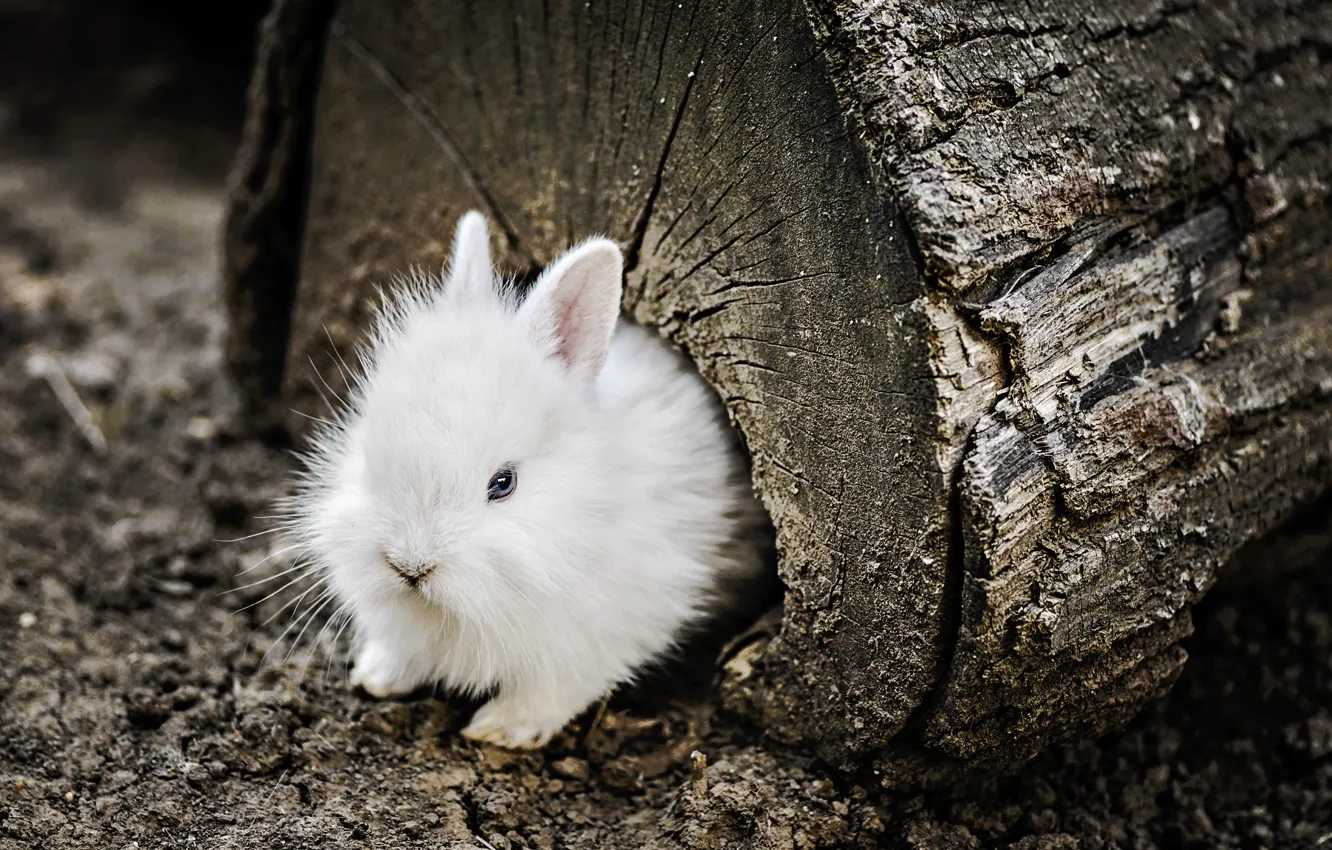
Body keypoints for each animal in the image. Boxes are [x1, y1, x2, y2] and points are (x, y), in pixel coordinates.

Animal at [282, 210, 769, 748]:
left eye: (503, 483)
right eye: (368, 454)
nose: (409, 567)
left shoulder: (600, 635)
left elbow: (551, 693)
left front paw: (498, 730)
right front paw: (377, 678)